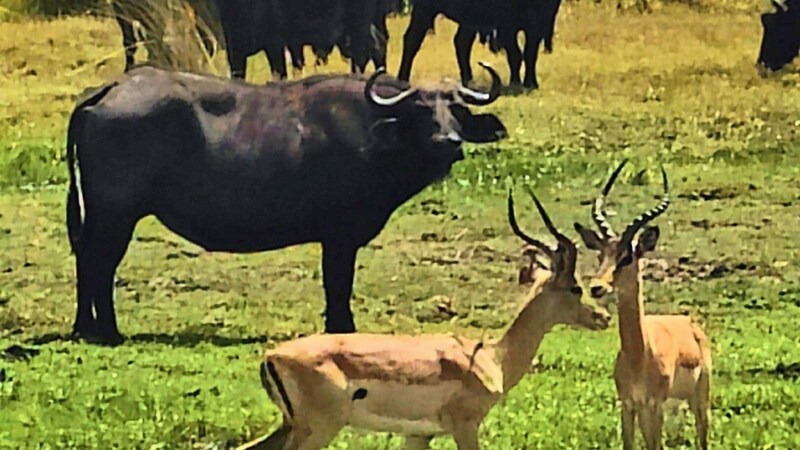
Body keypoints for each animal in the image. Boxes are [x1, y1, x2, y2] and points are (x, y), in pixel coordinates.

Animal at [67, 64, 506, 344]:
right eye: (420, 110)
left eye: (456, 109)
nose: (448, 142)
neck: (374, 135)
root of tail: (112, 88)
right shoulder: (340, 235)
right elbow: (338, 282)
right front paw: (342, 328)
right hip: (116, 213)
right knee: (99, 263)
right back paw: (107, 332)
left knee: (87, 261)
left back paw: (85, 327)